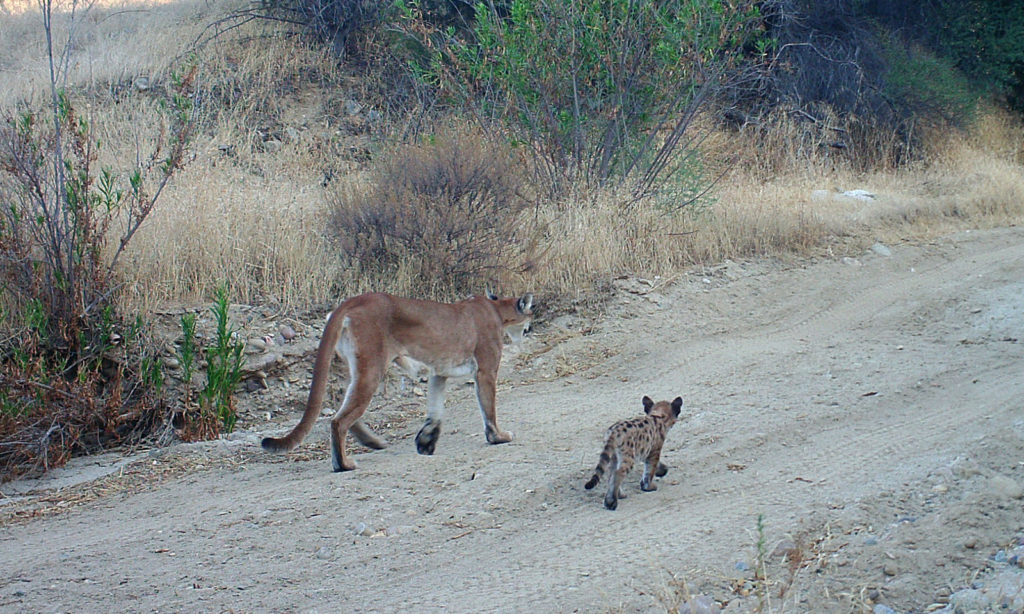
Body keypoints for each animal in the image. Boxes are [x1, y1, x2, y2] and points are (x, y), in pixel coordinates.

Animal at [262, 290, 536, 470]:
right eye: (531, 312)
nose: (531, 327)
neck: (496, 310)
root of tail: (355, 299)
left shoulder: (439, 373)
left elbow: (435, 409)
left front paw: (425, 442)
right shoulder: (486, 370)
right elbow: (488, 408)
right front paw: (498, 436)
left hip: (358, 369)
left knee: (343, 411)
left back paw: (373, 442)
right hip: (372, 368)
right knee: (339, 420)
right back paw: (344, 464)